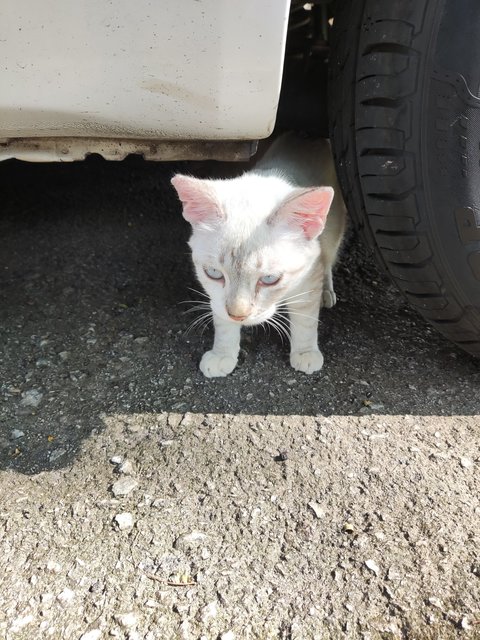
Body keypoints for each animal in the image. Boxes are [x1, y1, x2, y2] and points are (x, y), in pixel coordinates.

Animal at [172, 132, 344, 378]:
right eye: (214, 273)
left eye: (270, 279)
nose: (238, 315)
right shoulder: (217, 297)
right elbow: (222, 321)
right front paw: (222, 354)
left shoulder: (308, 275)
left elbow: (305, 318)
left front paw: (305, 353)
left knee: (329, 260)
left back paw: (326, 292)